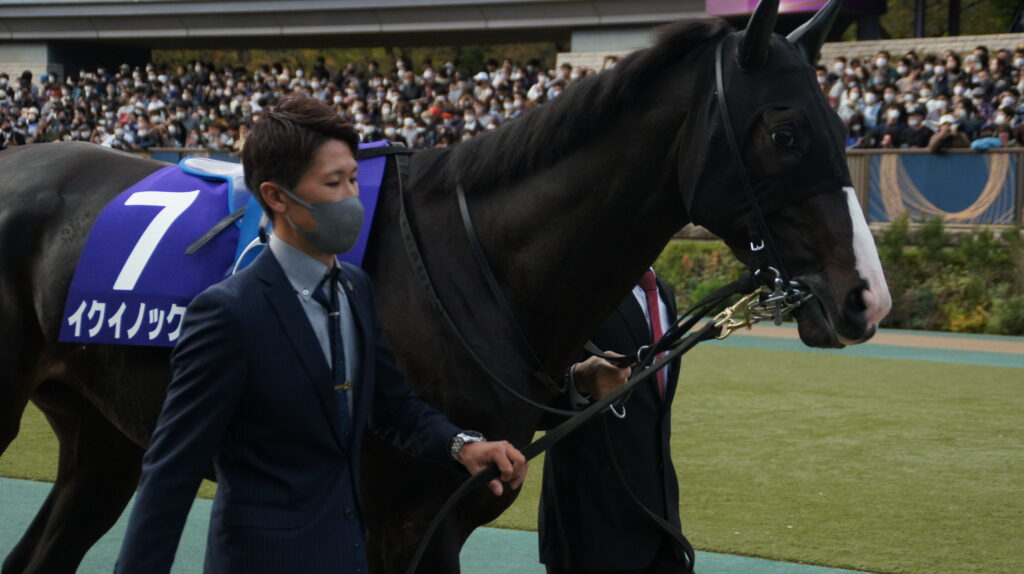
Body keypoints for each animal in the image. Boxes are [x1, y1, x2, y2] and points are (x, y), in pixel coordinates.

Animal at [0, 0, 890, 571]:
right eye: (786, 131)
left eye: (843, 126)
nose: (867, 297)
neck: (477, 264)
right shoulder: (398, 522)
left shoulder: (445, 522)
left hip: (106, 439)